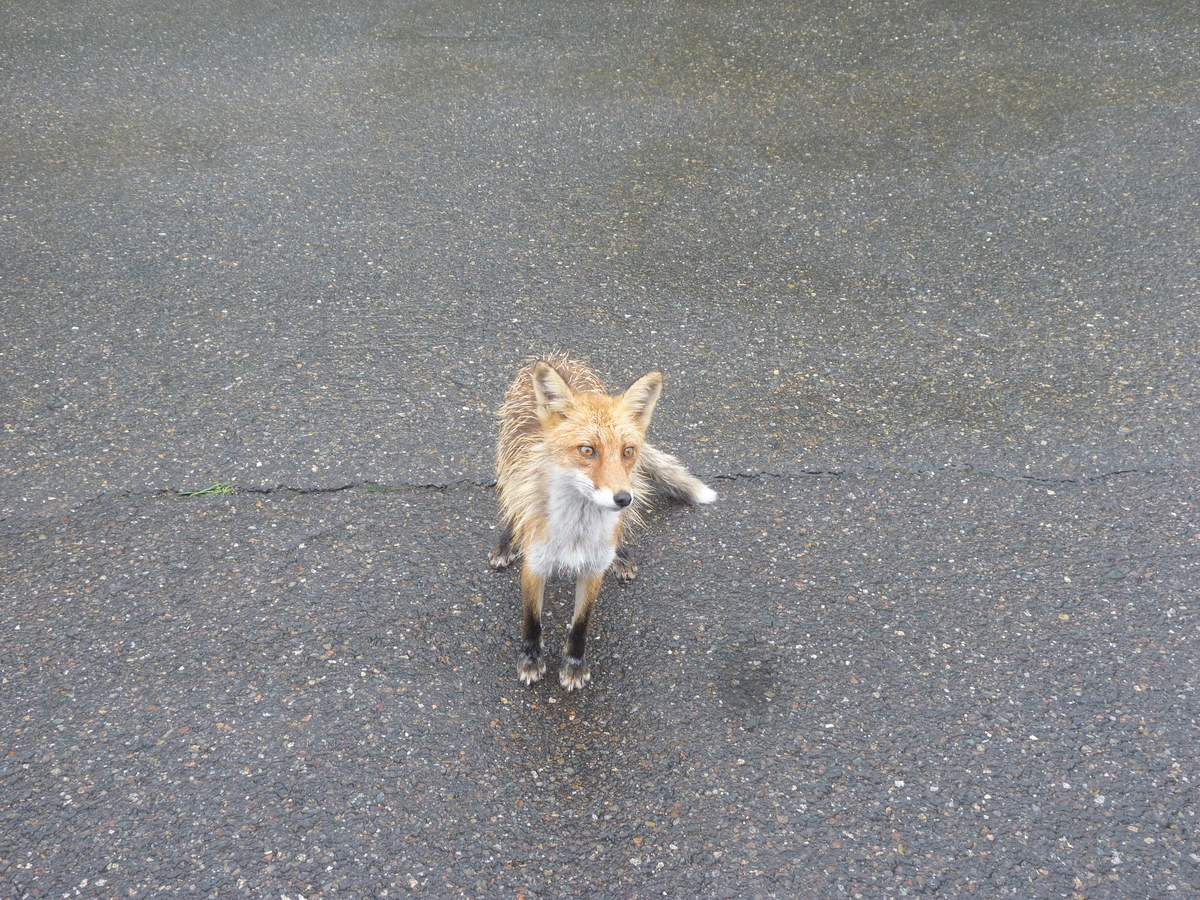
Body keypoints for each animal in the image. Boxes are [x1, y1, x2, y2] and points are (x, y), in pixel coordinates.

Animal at [492, 355, 715, 696]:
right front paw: (530, 660)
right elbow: (532, 621)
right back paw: (507, 541)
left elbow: (580, 626)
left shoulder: (594, 569)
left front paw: (574, 666)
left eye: (627, 451)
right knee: (513, 502)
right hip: (509, 467)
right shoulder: (535, 566)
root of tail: (557, 357)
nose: (624, 499)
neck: (576, 532)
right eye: (587, 450)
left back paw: (621, 556)